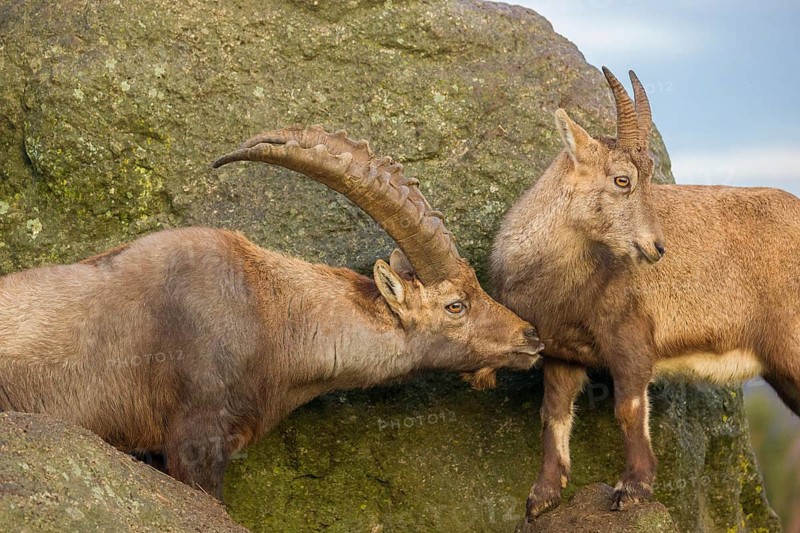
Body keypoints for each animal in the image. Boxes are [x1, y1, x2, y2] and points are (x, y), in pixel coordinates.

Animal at [491, 67, 800, 520]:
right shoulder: (562, 353)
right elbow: (554, 414)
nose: (657, 247)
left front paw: (633, 488)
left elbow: (629, 408)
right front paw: (542, 496)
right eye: (623, 179)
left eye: (650, 178)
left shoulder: (631, 338)